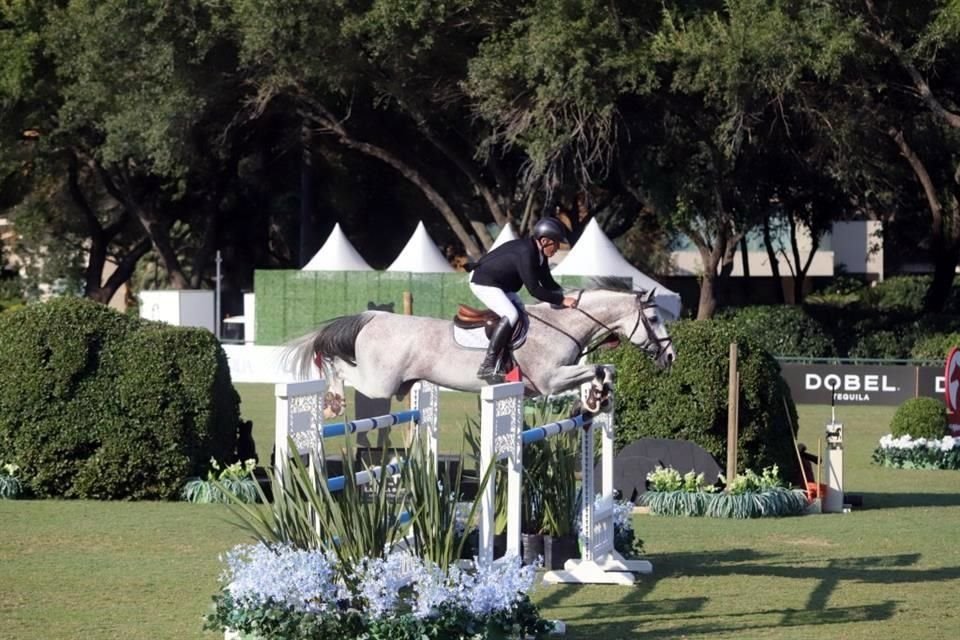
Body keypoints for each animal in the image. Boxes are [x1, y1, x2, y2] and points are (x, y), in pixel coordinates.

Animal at [284, 280, 676, 404]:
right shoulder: (549, 381)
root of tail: (373, 317)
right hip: (379, 384)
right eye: (655, 319)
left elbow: (603, 369)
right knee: (340, 370)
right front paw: (597, 395)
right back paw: (333, 400)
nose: (671, 356)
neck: (562, 324)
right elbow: (594, 368)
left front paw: (599, 397)